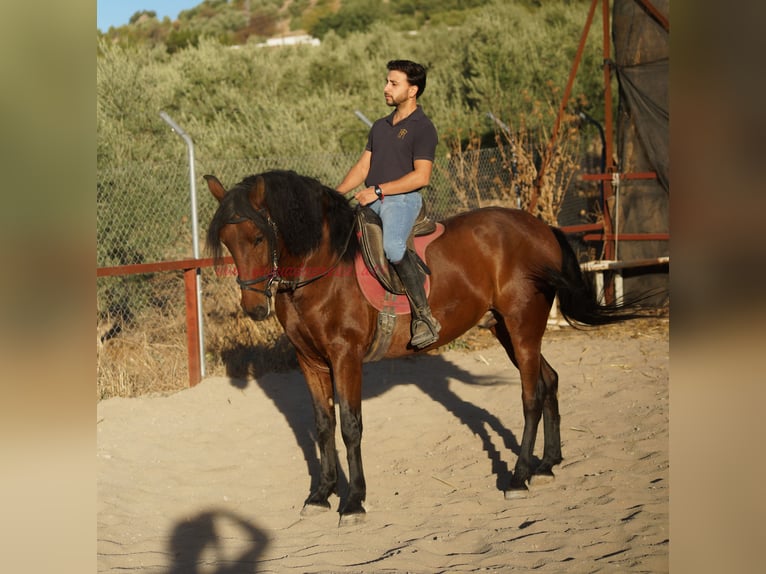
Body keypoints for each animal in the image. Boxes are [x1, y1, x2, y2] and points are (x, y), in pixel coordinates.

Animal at [205, 169, 647, 525]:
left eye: (258, 237)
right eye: (227, 242)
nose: (254, 307)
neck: (324, 269)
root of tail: (539, 227)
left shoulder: (346, 357)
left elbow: (350, 426)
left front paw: (354, 501)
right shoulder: (310, 361)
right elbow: (323, 425)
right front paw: (320, 495)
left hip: (523, 325)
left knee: (531, 395)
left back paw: (519, 476)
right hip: (506, 328)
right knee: (549, 379)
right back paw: (548, 463)